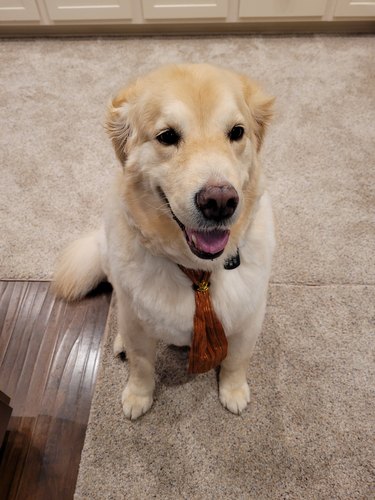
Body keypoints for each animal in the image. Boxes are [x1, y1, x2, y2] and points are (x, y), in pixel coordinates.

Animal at [53, 64, 276, 420]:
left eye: (237, 132)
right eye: (168, 136)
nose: (220, 202)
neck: (197, 271)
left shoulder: (249, 319)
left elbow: (236, 360)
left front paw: (233, 391)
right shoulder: (137, 326)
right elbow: (142, 364)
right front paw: (138, 396)